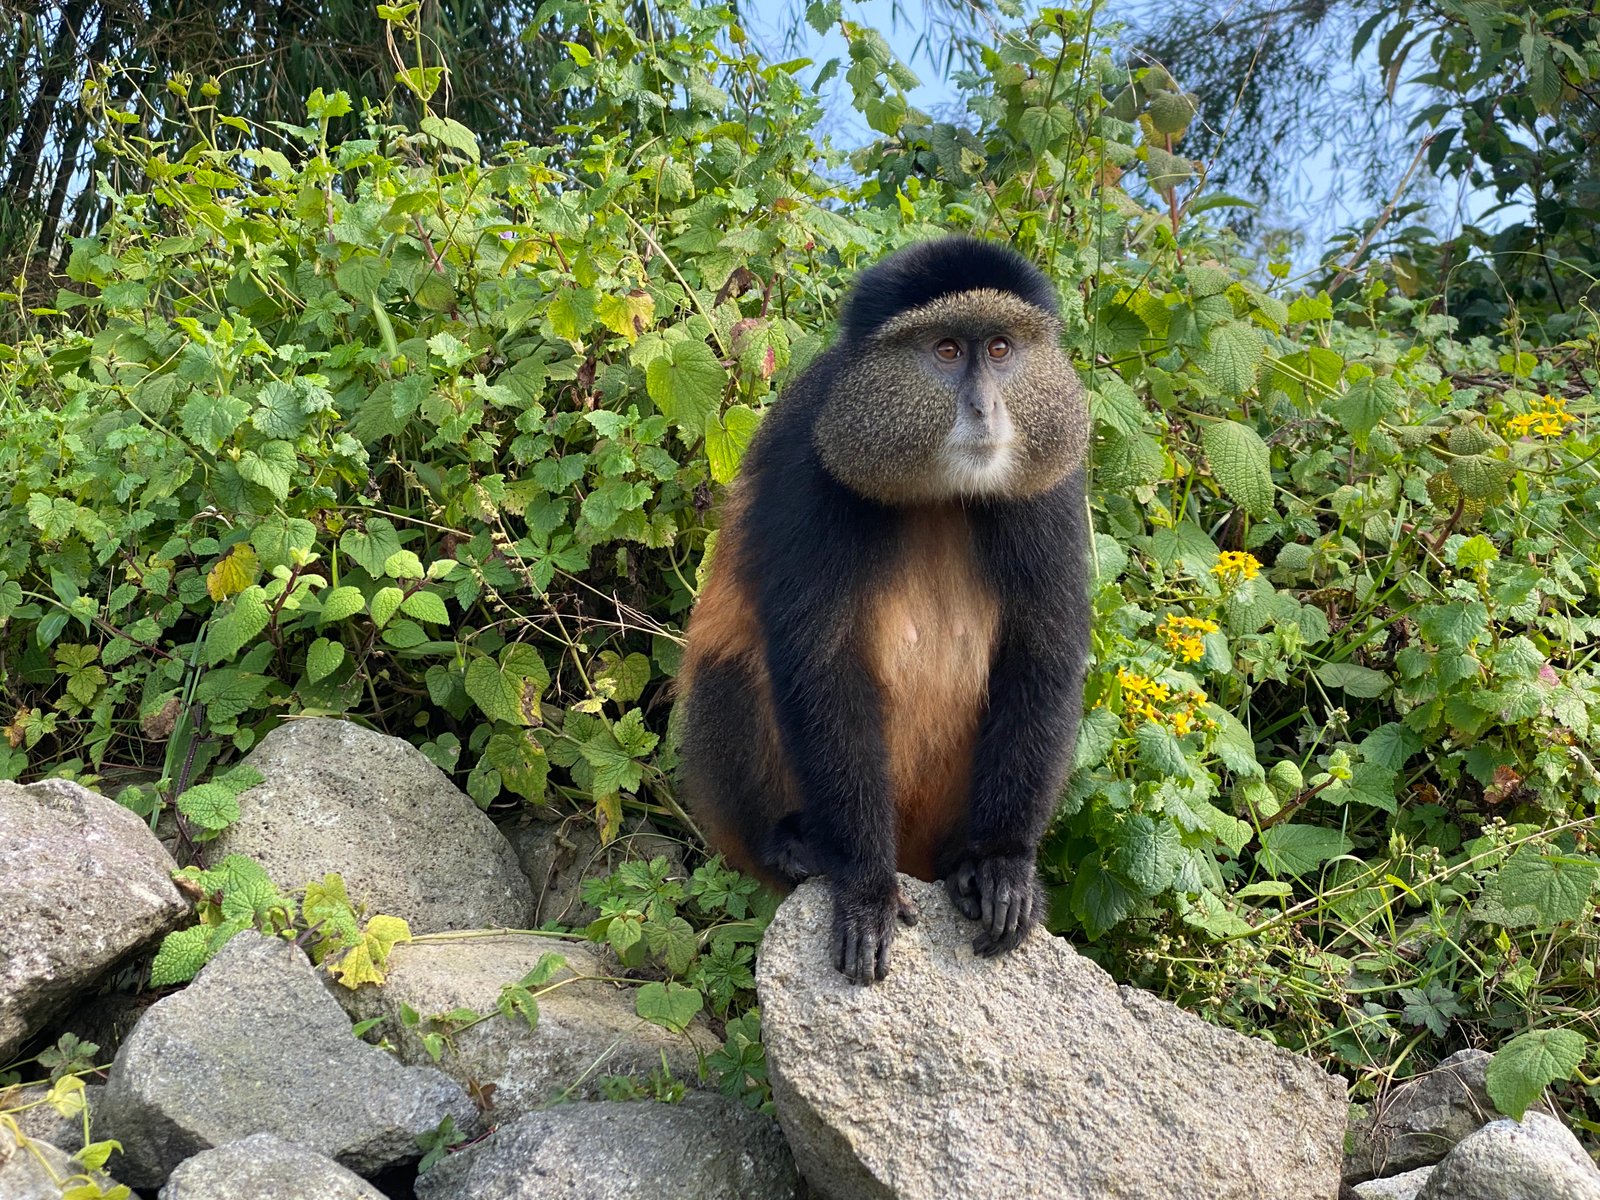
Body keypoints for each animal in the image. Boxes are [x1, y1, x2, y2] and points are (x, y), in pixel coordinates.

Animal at [678, 235, 1090, 984]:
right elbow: (821, 665)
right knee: (735, 670)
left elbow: (1043, 649)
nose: (986, 408)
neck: (937, 488)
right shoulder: (811, 463)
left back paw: (963, 869)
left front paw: (1004, 864)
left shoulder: (1051, 480)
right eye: (947, 350)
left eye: (1002, 348)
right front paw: (866, 888)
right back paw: (793, 846)